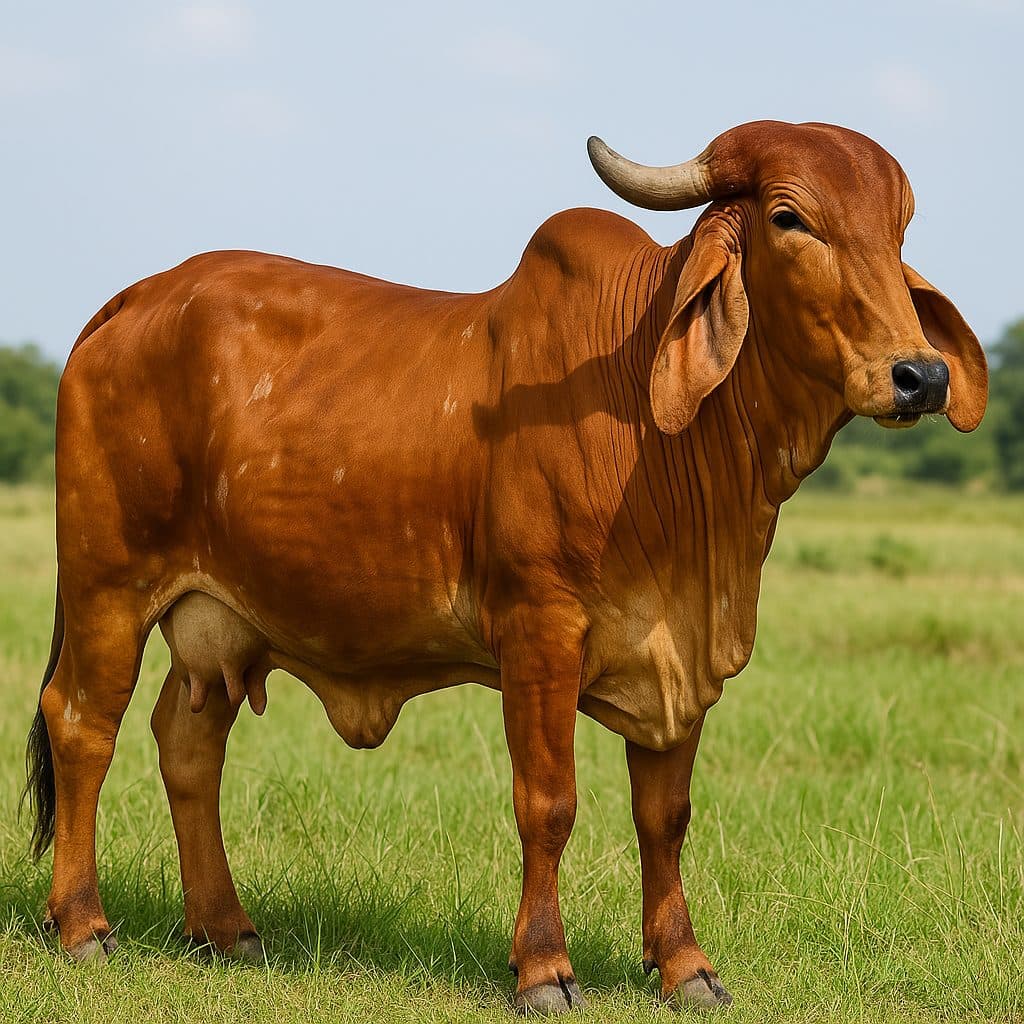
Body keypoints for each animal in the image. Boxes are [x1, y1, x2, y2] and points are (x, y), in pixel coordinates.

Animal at [23, 120, 987, 1013]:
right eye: (790, 218)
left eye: (898, 228)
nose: (920, 375)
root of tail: (130, 300)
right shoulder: (539, 630)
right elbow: (548, 803)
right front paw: (544, 969)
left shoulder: (681, 654)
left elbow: (665, 818)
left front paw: (685, 967)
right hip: (109, 585)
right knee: (81, 725)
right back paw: (83, 926)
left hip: (221, 625)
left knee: (188, 745)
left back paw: (225, 930)